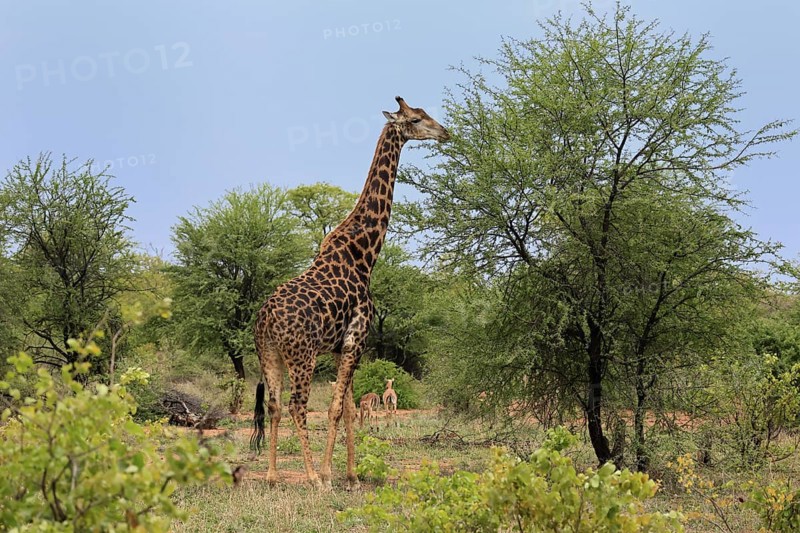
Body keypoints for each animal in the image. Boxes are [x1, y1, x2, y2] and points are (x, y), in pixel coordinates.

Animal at [252, 96, 449, 488]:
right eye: (416, 119)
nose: (445, 132)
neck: (365, 254)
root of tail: (265, 318)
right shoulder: (357, 339)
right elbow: (336, 407)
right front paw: (330, 474)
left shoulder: (345, 345)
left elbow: (346, 409)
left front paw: (353, 475)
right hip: (302, 356)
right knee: (297, 405)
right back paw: (313, 477)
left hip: (269, 354)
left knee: (275, 406)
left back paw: (272, 476)